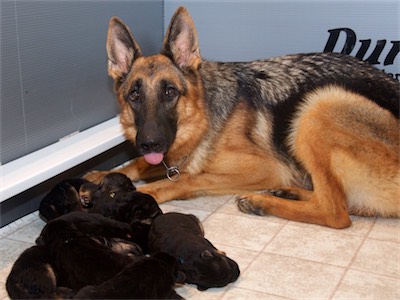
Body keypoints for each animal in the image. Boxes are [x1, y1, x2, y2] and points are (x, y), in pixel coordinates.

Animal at [85, 5, 400, 229]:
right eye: (134, 95)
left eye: (170, 92)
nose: (149, 143)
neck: (203, 118)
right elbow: (139, 165)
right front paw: (100, 176)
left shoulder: (262, 168)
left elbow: (184, 179)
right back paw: (287, 192)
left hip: (320, 103)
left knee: (336, 212)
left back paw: (264, 202)